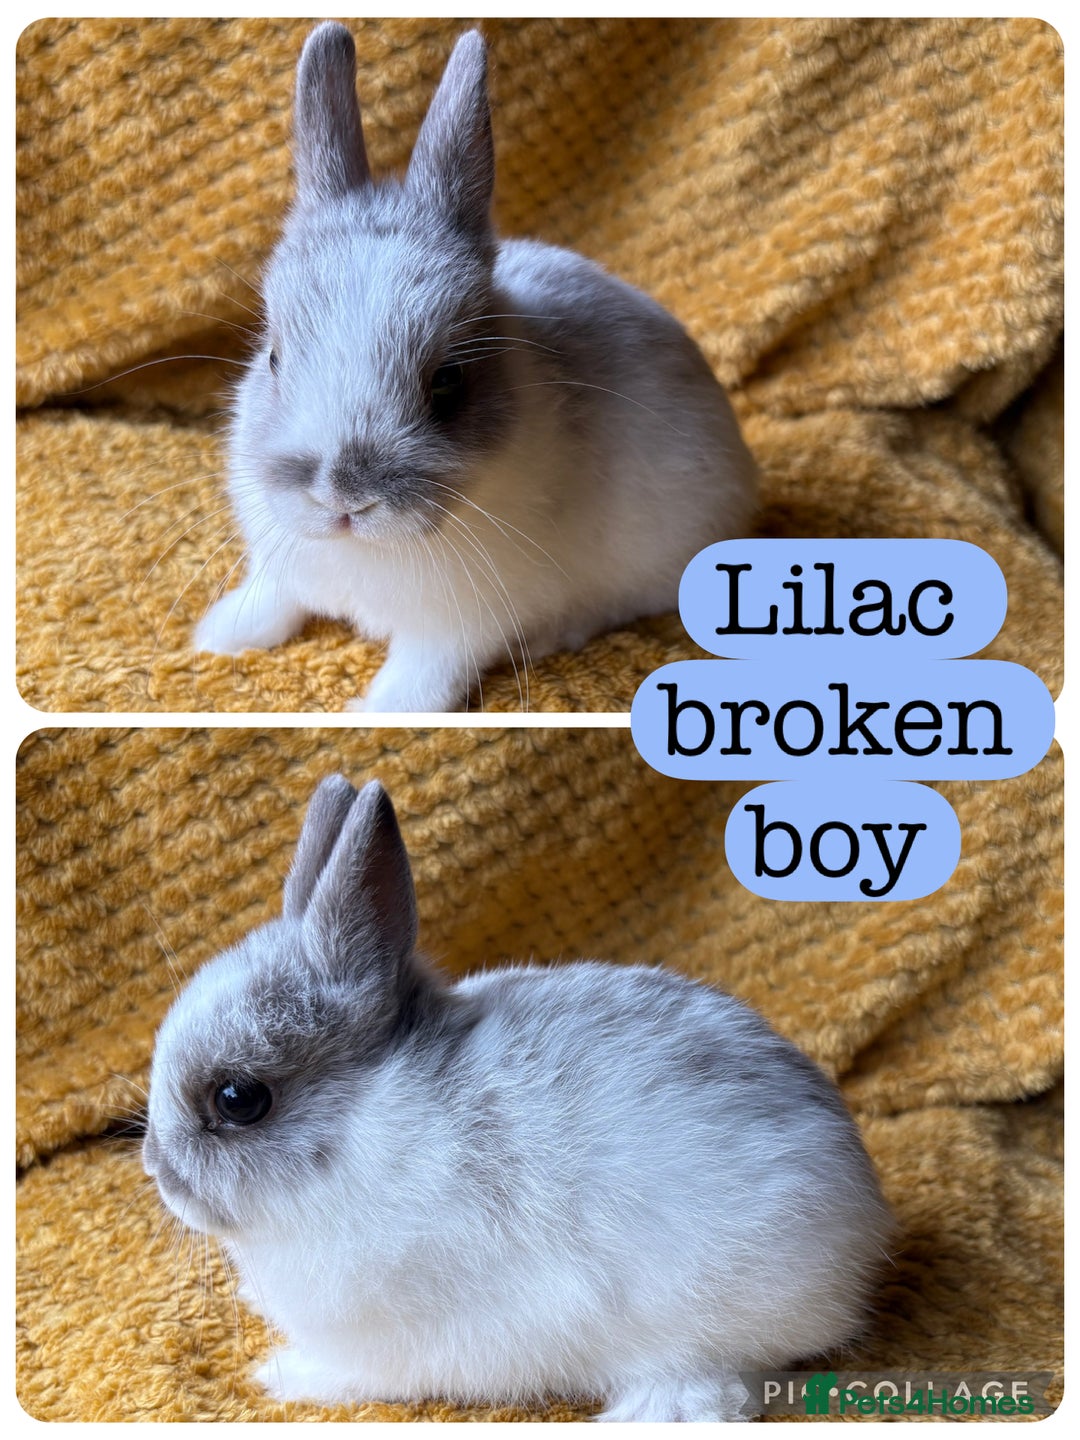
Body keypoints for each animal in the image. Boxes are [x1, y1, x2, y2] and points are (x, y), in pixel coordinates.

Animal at [143, 773, 892, 1422]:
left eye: (238, 1099)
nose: (158, 1169)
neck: (356, 1131)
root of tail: (864, 1222)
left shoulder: (390, 1336)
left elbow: (354, 1374)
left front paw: (285, 1376)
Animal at [193, 23, 758, 711]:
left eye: (447, 380)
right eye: (274, 357)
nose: (342, 496)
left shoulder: (458, 629)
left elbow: (423, 674)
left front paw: (376, 712)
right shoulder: (282, 568)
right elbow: (273, 599)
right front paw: (218, 637)